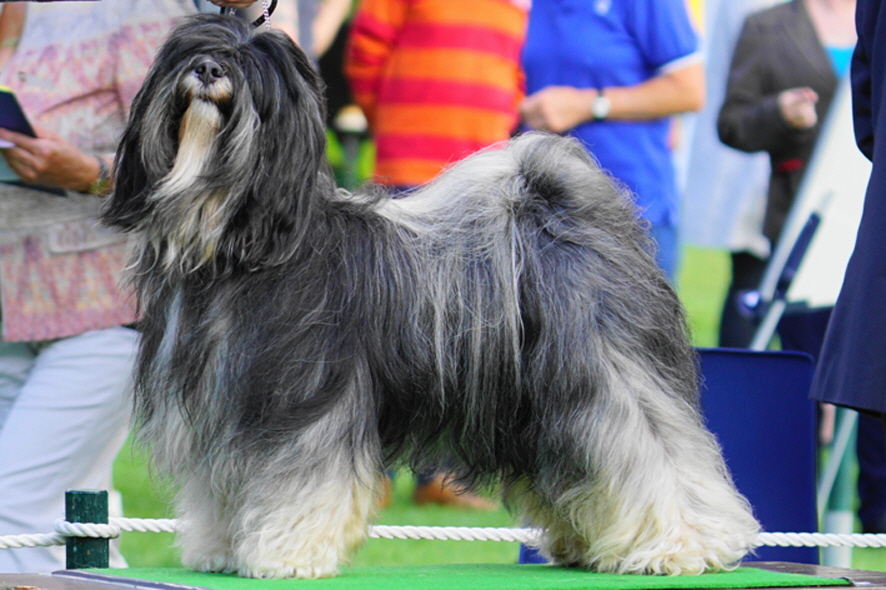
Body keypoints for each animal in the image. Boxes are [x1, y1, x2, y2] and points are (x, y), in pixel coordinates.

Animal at [100, 13, 760, 584]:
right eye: (192, 52)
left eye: (251, 68)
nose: (210, 69)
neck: (237, 242)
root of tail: (561, 209)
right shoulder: (224, 407)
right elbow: (220, 485)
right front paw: (219, 548)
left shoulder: (306, 406)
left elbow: (300, 481)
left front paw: (286, 555)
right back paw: (587, 543)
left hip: (609, 375)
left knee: (654, 453)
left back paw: (683, 544)